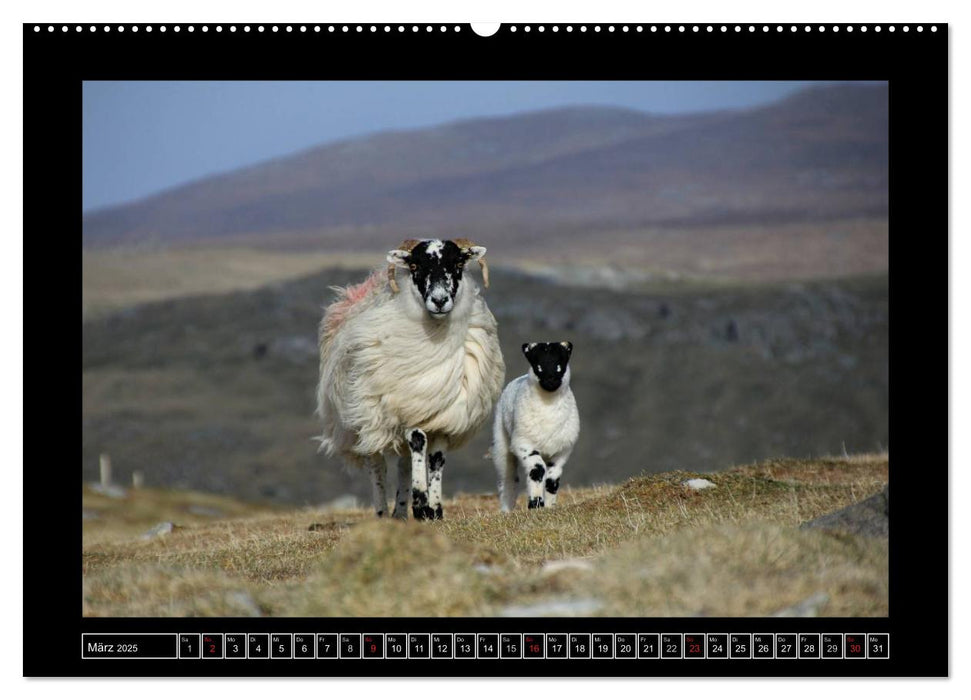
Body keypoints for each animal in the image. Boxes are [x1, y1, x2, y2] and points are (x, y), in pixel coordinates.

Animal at [316, 241, 504, 520]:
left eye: (459, 263)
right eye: (415, 265)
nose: (439, 300)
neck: (436, 337)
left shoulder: (443, 417)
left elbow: (435, 459)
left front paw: (434, 509)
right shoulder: (408, 411)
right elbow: (418, 443)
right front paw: (421, 502)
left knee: (403, 464)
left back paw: (401, 513)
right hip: (365, 419)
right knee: (377, 466)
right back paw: (383, 513)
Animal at [494, 340, 576, 508]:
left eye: (560, 365)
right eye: (538, 366)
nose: (551, 380)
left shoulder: (562, 450)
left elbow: (553, 478)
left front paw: (549, 507)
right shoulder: (524, 444)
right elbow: (537, 470)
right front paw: (535, 504)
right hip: (502, 445)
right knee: (508, 480)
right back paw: (506, 509)